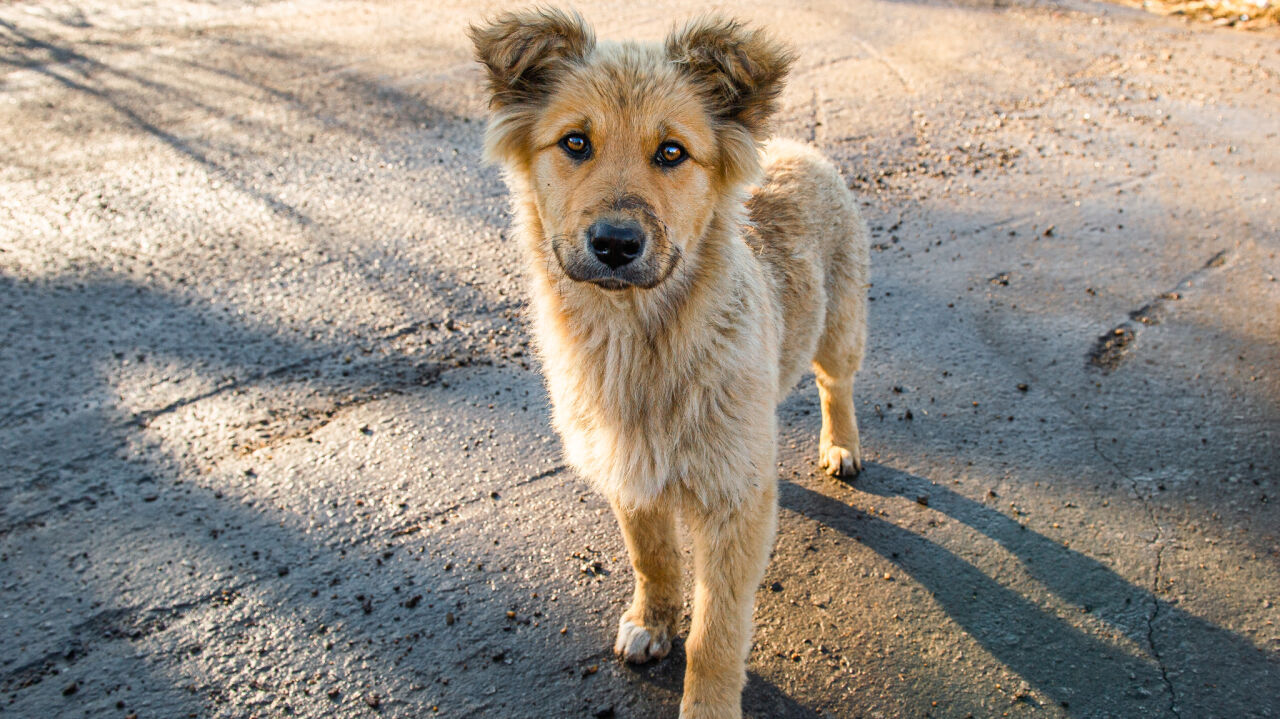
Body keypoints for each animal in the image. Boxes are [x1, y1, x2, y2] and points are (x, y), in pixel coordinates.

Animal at [471, 8, 870, 711]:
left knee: (834, 385)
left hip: (839, 327)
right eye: (575, 143)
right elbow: (652, 559)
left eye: (672, 152)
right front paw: (651, 623)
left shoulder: (734, 507)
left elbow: (717, 630)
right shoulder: (629, 470)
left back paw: (841, 445)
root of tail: (798, 147)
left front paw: (707, 703)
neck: (638, 341)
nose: (615, 244)